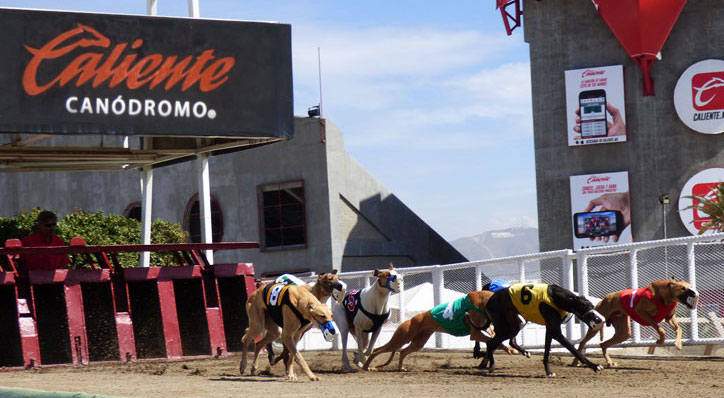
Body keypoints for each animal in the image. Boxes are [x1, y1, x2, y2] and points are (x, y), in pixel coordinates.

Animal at [362, 290, 516, 370]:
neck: (484, 300)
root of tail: (409, 320)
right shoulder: (475, 333)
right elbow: (494, 341)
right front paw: (510, 349)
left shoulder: (486, 329)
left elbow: (495, 339)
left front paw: (510, 349)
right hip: (401, 338)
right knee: (377, 350)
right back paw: (366, 366)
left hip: (418, 342)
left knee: (403, 352)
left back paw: (400, 367)